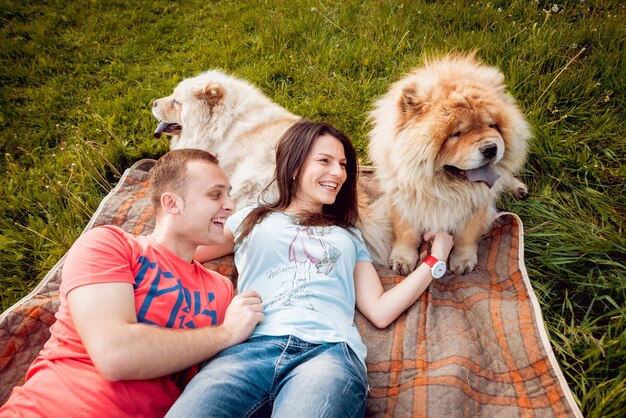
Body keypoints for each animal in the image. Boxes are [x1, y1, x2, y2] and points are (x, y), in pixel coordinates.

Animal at [368, 53, 528, 274]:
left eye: (492, 125)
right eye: (456, 134)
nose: (490, 148)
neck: (445, 190)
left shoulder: (477, 206)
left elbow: (466, 236)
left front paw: (463, 261)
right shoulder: (402, 201)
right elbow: (406, 234)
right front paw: (402, 260)